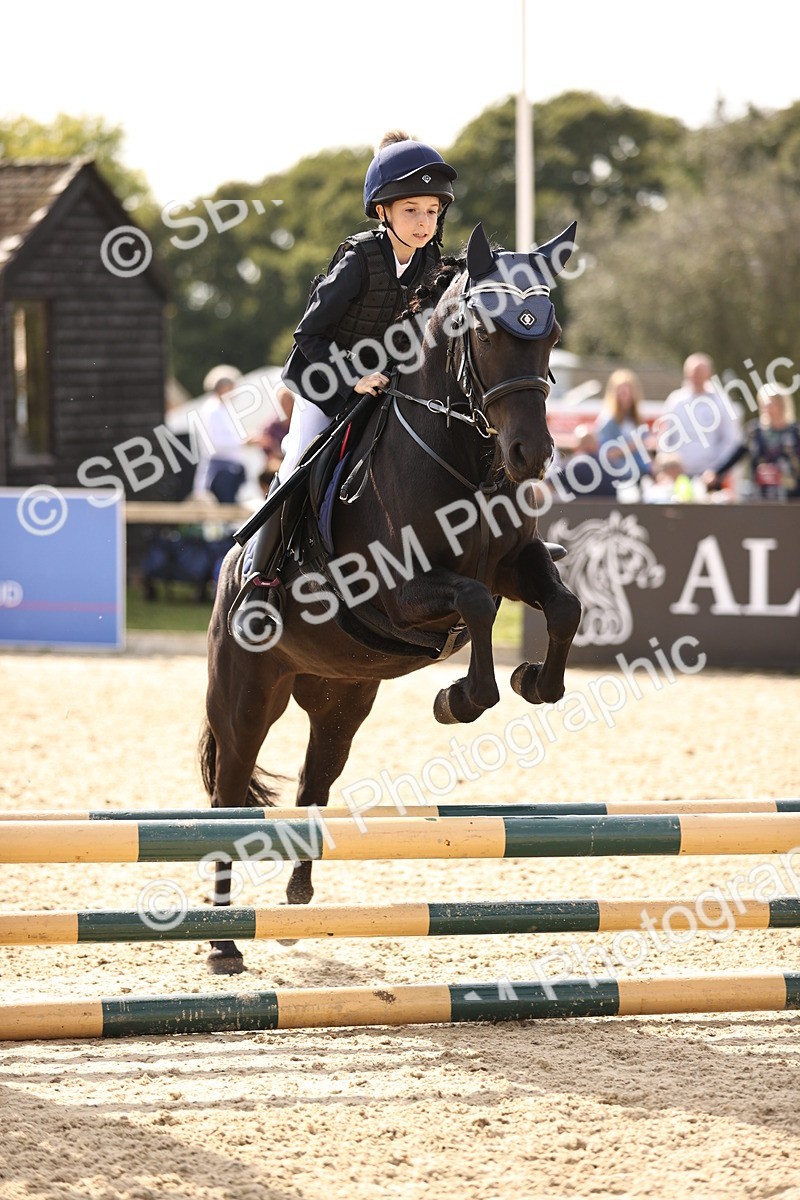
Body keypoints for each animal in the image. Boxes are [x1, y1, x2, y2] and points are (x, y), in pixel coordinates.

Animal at [199, 220, 583, 974]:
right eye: (484, 333)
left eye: (551, 334)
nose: (530, 456)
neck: (461, 458)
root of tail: (226, 576)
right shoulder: (396, 591)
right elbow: (475, 605)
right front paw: (458, 698)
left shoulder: (516, 564)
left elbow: (562, 606)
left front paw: (535, 681)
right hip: (246, 698)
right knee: (229, 796)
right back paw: (225, 942)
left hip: (340, 700)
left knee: (314, 785)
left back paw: (297, 898)